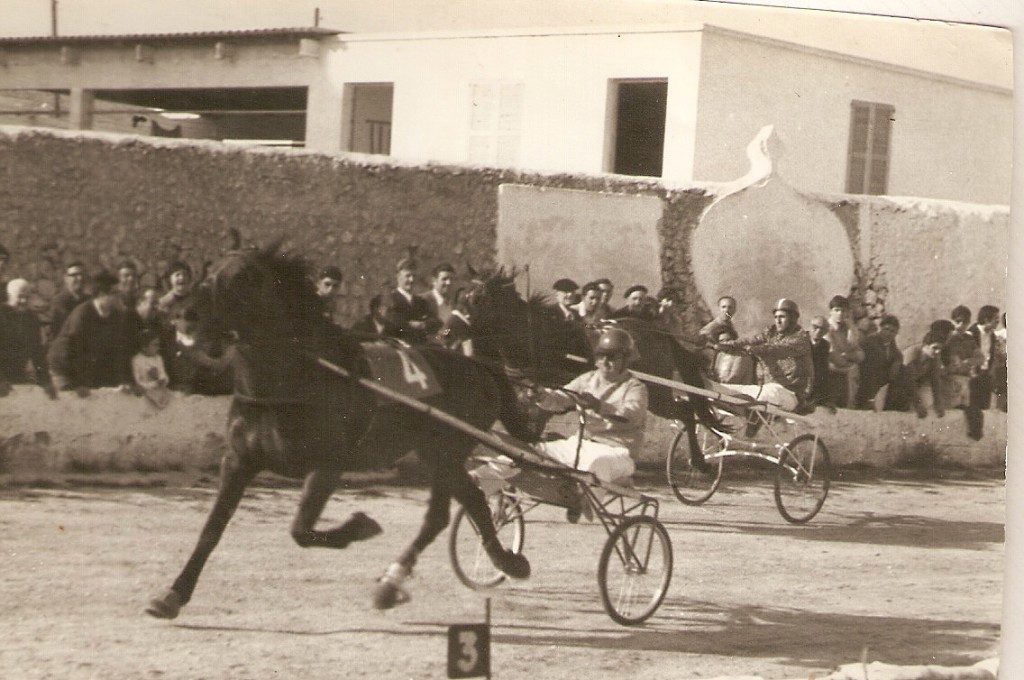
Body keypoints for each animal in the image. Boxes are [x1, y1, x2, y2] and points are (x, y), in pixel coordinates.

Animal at [149, 245, 536, 622]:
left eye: (242, 278)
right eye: (210, 272)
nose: (185, 317)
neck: (299, 376)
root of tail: (479, 365)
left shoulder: (327, 464)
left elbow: (300, 530)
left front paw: (360, 525)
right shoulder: (238, 461)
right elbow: (211, 529)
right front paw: (173, 594)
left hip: (447, 451)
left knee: (450, 511)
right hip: (436, 453)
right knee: (462, 505)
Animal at [464, 268, 720, 464]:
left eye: (477, 299)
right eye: (462, 296)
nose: (454, 327)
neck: (539, 341)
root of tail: (658, 332)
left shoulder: (546, 401)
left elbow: (531, 430)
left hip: (657, 392)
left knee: (685, 410)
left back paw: (700, 463)